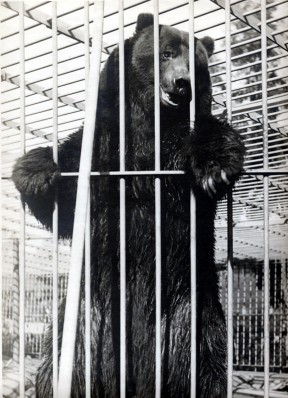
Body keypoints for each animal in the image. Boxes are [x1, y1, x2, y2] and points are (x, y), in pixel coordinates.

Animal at [11, 12, 245, 398]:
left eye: (196, 65)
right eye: (165, 53)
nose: (182, 84)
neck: (149, 123)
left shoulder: (173, 154)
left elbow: (209, 148)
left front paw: (215, 165)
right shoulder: (103, 147)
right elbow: (68, 196)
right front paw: (34, 170)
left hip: (192, 323)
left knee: (208, 372)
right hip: (85, 328)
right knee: (57, 370)